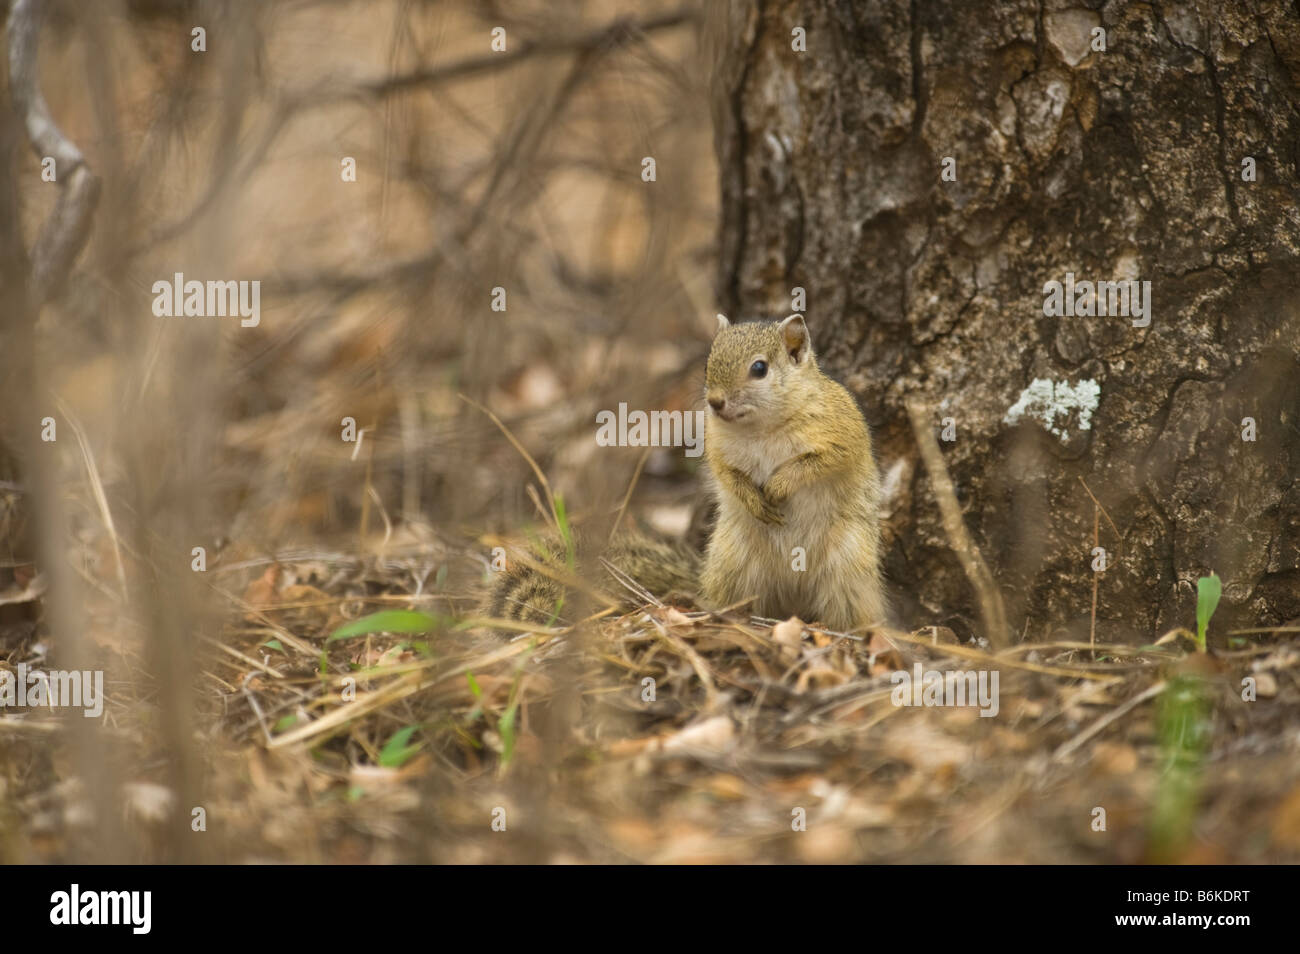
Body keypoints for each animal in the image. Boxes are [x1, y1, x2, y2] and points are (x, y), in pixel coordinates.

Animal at [483, 314, 889, 639]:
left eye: (760, 368)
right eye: (709, 363)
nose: (715, 402)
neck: (761, 427)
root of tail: (792, 601)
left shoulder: (841, 436)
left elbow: (817, 463)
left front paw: (778, 484)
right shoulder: (718, 451)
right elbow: (729, 476)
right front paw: (754, 498)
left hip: (847, 571)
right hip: (734, 566)